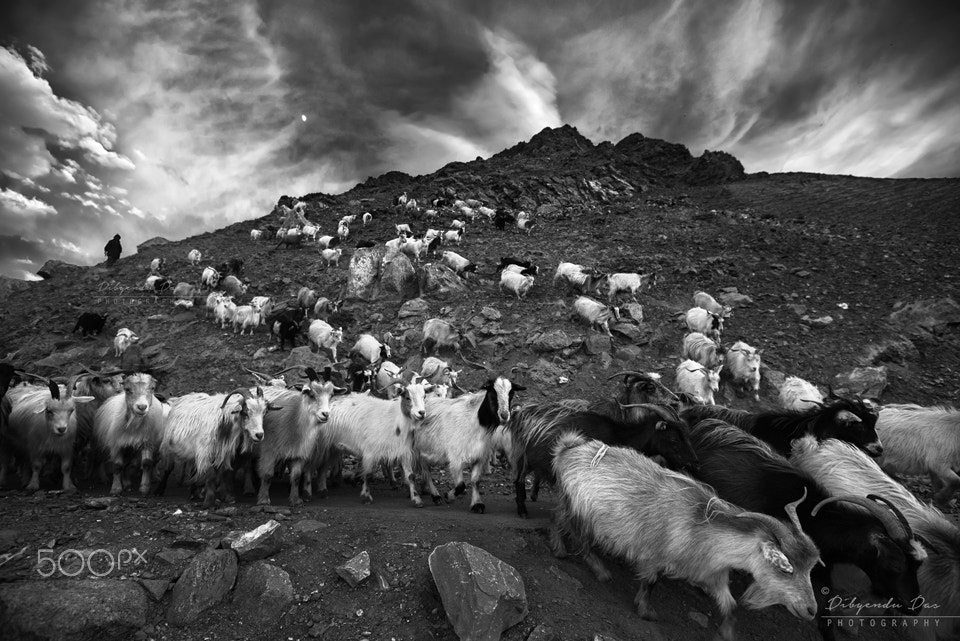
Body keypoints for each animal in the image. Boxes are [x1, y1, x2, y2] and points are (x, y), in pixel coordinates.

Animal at [510, 402, 696, 516]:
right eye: (673, 439)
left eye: (687, 435)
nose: (692, 461)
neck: (620, 435)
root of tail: (522, 415)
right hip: (522, 456)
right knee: (518, 480)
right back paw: (522, 511)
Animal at [552, 432, 812, 636]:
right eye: (786, 569)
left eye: (810, 569)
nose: (812, 610)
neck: (705, 531)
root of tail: (568, 449)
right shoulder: (656, 553)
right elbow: (651, 581)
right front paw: (646, 611)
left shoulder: (714, 573)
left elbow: (730, 606)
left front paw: (726, 633)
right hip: (581, 510)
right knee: (578, 536)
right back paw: (599, 569)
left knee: (559, 518)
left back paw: (560, 548)